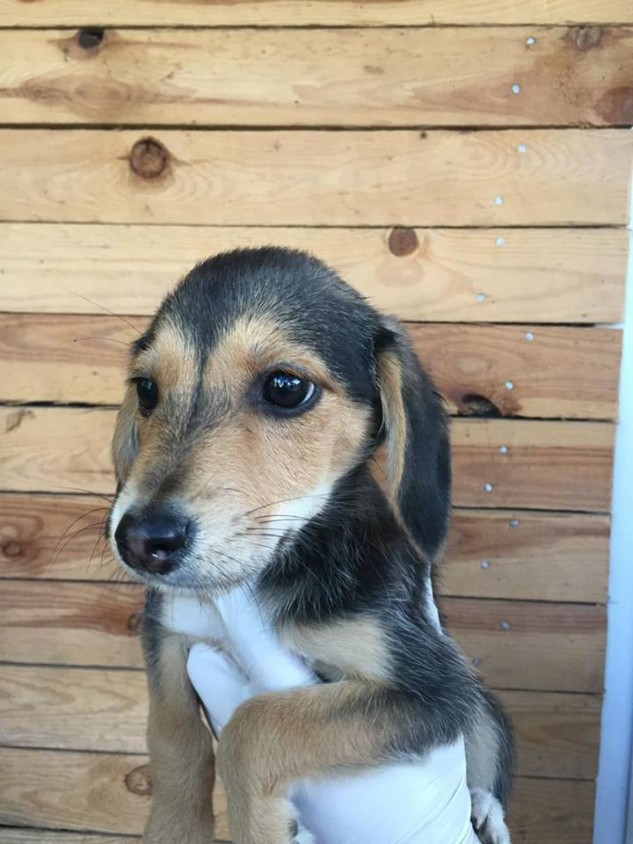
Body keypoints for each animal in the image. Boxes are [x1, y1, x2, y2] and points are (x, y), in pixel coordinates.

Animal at [108, 247, 514, 844]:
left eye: (285, 387)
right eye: (146, 390)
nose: (141, 541)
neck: (274, 566)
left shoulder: (429, 689)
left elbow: (253, 727)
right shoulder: (171, 629)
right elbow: (171, 733)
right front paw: (173, 828)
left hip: (479, 702)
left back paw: (485, 810)